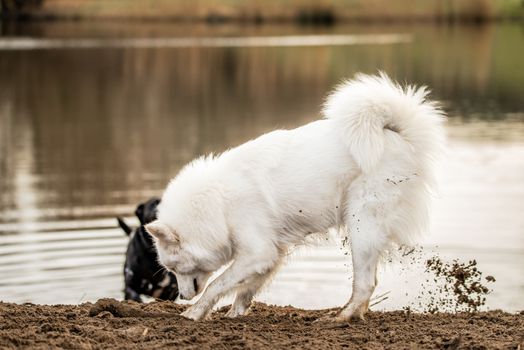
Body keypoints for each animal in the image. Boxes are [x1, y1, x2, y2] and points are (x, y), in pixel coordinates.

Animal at [145, 72, 444, 322]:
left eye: (173, 267)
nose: (183, 296)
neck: (217, 203)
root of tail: (400, 136)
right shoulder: (269, 255)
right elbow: (244, 290)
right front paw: (235, 315)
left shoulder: (257, 252)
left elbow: (218, 284)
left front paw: (194, 313)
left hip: (362, 228)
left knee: (365, 284)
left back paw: (341, 317)